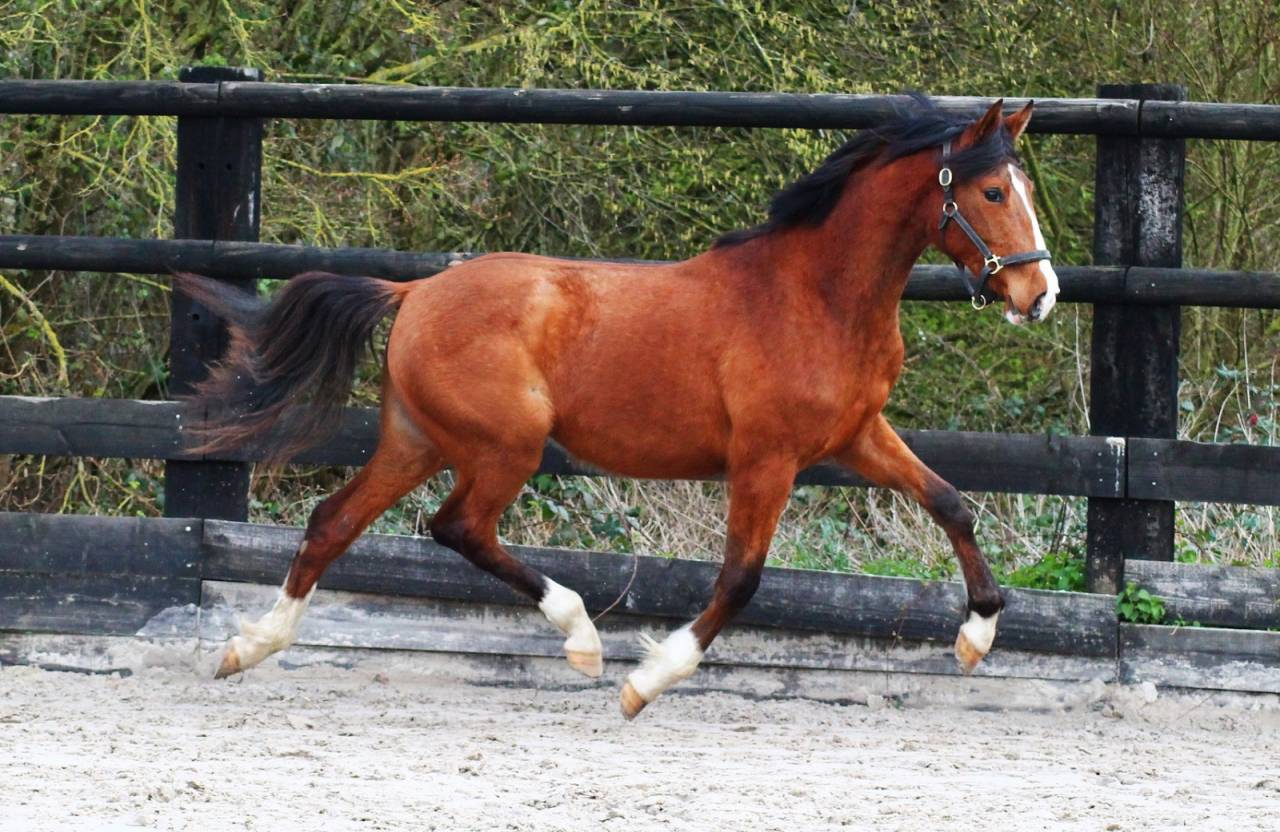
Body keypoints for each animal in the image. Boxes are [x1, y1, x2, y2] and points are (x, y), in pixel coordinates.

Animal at [178, 96, 1058, 719]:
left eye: (1021, 187)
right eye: (990, 190)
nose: (1039, 294)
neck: (818, 297)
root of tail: (417, 291)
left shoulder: (856, 436)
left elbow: (951, 501)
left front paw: (977, 636)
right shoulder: (765, 459)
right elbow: (741, 578)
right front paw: (648, 683)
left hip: (417, 438)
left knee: (335, 521)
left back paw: (246, 648)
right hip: (506, 445)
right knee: (458, 527)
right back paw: (584, 641)